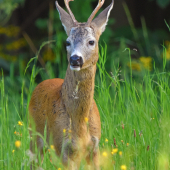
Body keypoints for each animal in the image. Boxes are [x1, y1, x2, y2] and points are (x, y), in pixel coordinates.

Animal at [29, 0, 114, 169]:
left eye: (91, 41)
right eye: (68, 42)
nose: (75, 59)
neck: (80, 122)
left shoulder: (94, 147)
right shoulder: (64, 148)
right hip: (34, 135)